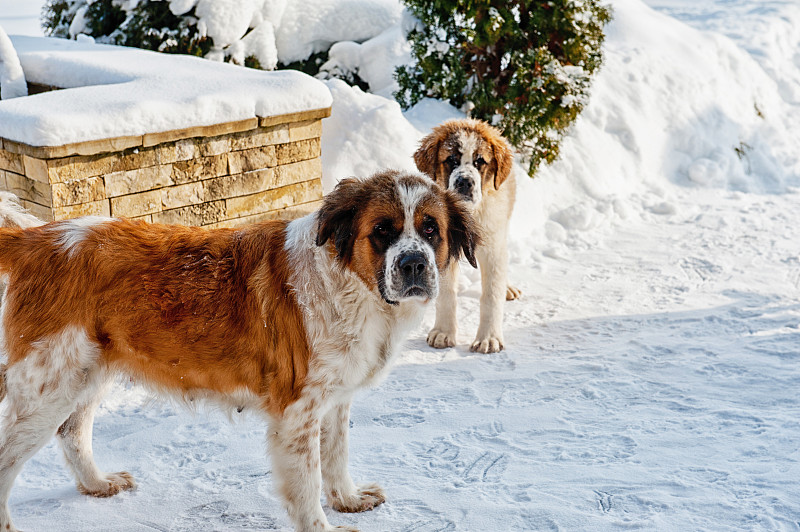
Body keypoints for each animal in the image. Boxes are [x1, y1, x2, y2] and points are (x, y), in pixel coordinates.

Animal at [0, 170, 476, 532]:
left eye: (430, 230)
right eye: (382, 231)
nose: (413, 264)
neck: (350, 285)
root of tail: (36, 239)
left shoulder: (333, 401)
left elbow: (336, 455)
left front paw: (348, 498)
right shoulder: (297, 413)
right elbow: (308, 482)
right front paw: (323, 525)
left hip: (84, 374)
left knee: (72, 432)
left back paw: (97, 484)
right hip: (48, 389)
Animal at [412, 119, 520, 354]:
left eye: (480, 162)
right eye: (451, 160)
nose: (464, 182)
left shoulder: (493, 247)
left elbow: (491, 295)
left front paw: (489, 338)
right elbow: (446, 295)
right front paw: (443, 332)